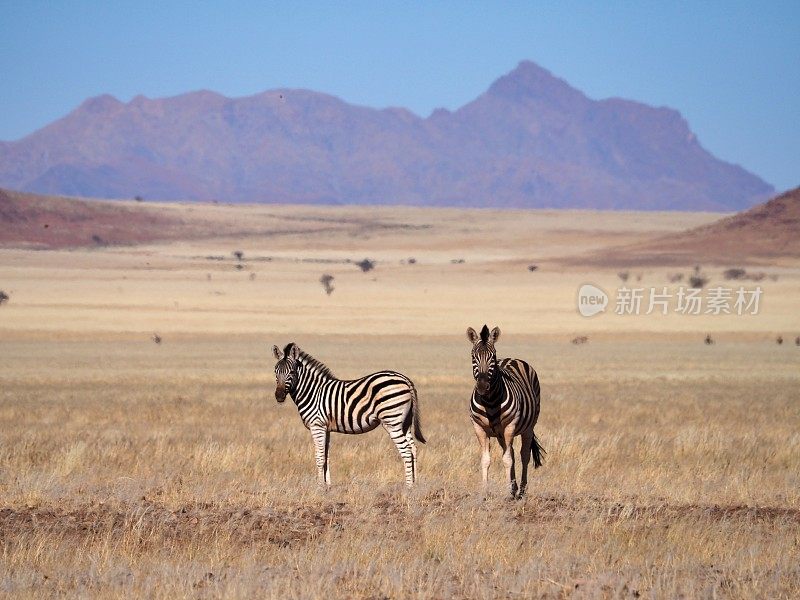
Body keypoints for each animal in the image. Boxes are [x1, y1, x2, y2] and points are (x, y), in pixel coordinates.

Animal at [272, 342, 424, 488]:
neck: (313, 392)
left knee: (405, 451)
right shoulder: (326, 428)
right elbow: (326, 456)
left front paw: (319, 486)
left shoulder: (317, 426)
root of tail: (404, 379)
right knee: (413, 449)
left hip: (392, 422)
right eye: (275, 371)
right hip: (404, 422)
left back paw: (408, 486)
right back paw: (415, 483)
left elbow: (319, 457)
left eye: (292, 372)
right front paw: (328, 486)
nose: (279, 396)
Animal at [462, 324, 544, 496]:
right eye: (473, 356)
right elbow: (486, 460)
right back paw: (514, 487)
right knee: (510, 451)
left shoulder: (510, 426)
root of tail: (513, 358)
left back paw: (521, 490)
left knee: (523, 455)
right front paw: (485, 491)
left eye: (492, 357)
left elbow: (507, 460)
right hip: (500, 434)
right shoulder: (479, 428)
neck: (490, 401)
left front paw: (507, 493)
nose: (482, 386)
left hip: (528, 426)